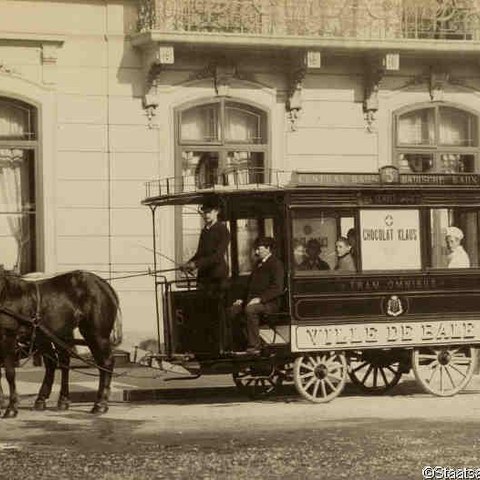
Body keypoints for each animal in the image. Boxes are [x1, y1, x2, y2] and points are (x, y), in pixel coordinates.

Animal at [0, 272, 121, 418]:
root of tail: (104, 284)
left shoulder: (8, 337)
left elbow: (10, 373)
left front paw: (11, 408)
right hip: (51, 335)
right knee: (60, 362)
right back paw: (55, 400)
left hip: (96, 334)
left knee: (105, 363)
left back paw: (100, 404)